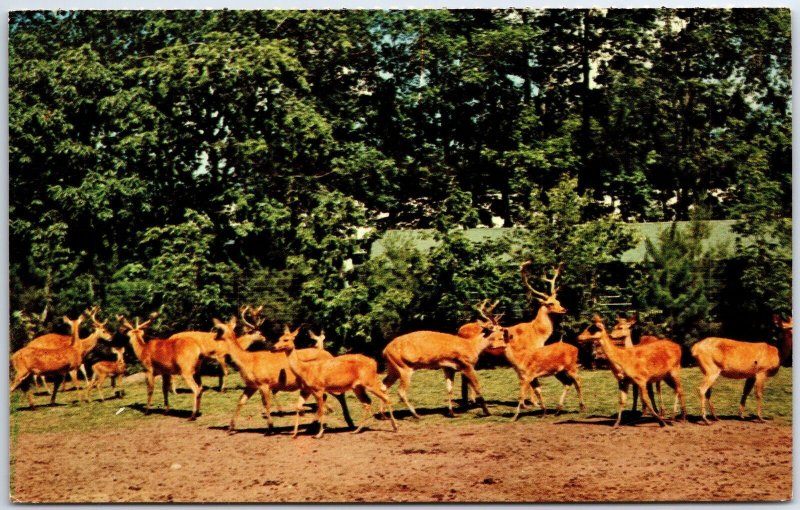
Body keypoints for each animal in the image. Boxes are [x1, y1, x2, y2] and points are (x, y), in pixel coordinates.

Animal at [270, 322, 398, 438]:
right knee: (367, 402)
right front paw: (294, 434)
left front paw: (319, 434)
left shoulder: (319, 388)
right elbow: (298, 406)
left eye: (286, 339)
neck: (305, 370)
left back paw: (394, 427)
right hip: (358, 387)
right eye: (279, 338)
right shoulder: (305, 390)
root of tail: (374, 363)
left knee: (385, 397)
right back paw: (356, 430)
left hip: (369, 381)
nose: (273, 347)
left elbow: (321, 409)